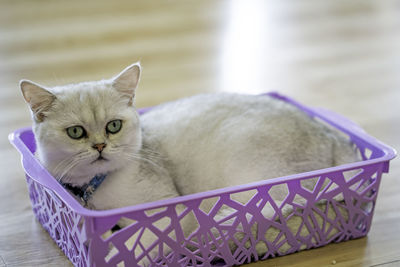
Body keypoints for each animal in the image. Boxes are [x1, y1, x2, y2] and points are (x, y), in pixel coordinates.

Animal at [19, 62, 360, 266]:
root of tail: (332, 135)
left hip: (255, 189)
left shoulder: (163, 215)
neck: (96, 193)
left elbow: (136, 246)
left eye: (113, 126)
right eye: (76, 132)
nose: (100, 146)